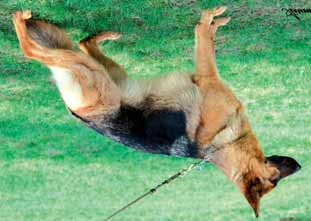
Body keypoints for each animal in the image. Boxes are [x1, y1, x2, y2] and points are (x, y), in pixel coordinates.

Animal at [13, 6, 302, 218]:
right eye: (276, 177)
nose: (300, 165)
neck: (224, 144)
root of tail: (80, 114)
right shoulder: (207, 76)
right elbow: (203, 37)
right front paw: (212, 21)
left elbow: (203, 37)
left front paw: (212, 21)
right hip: (97, 77)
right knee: (34, 51)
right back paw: (21, 22)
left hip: (107, 75)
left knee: (80, 45)